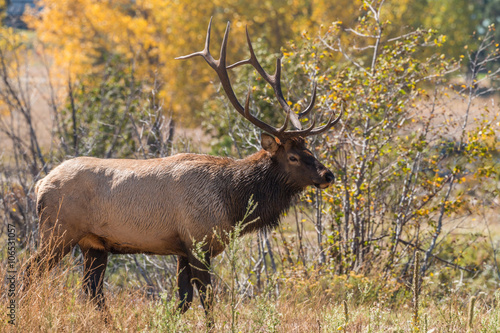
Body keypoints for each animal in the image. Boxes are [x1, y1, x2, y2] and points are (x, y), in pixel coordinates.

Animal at [26, 19, 340, 318]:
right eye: (293, 157)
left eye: (310, 150)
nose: (328, 175)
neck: (232, 202)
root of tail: (40, 184)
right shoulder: (197, 241)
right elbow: (207, 300)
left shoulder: (182, 249)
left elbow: (183, 301)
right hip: (58, 232)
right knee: (29, 271)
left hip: (94, 244)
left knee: (92, 290)